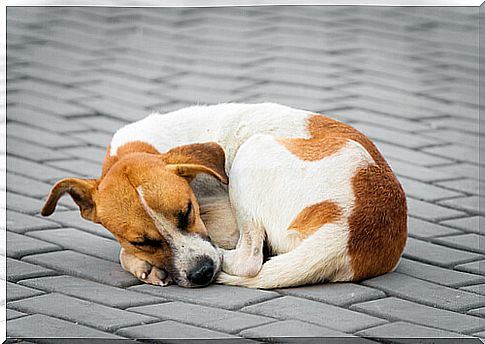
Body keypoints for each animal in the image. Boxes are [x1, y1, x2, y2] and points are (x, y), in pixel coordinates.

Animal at [41, 101, 406, 288]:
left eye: (187, 212)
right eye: (142, 240)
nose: (202, 273)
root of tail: (347, 231)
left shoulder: (223, 222)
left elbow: (119, 252)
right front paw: (144, 263)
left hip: (252, 151)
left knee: (249, 260)